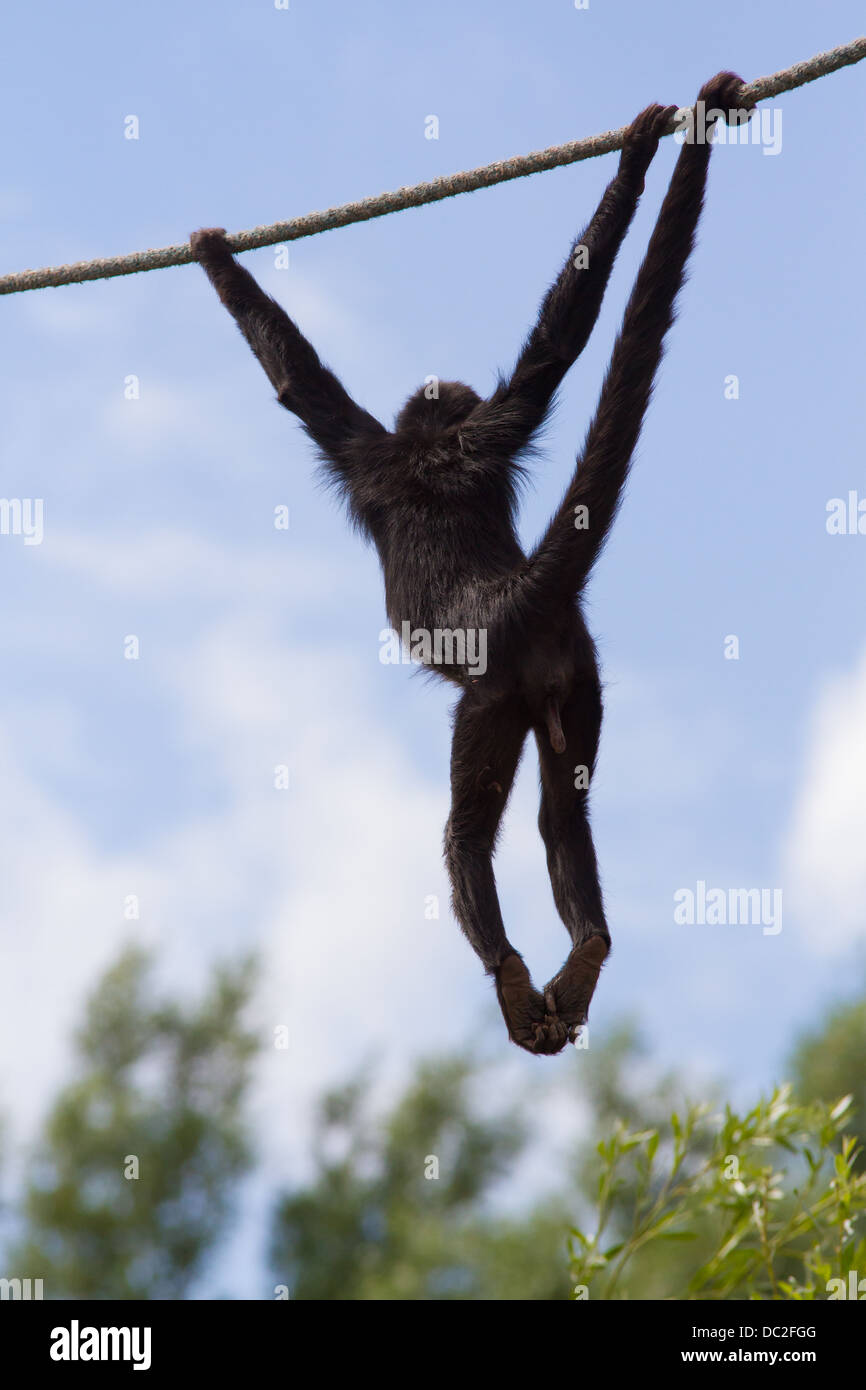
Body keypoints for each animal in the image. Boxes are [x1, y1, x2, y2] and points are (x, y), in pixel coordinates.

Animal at [189, 70, 750, 1050]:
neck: (431, 451)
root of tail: (518, 591)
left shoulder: (370, 451)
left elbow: (303, 386)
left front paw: (214, 255)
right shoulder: (481, 433)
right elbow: (553, 353)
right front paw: (639, 158)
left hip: (489, 695)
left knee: (465, 835)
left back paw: (510, 969)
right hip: (575, 674)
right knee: (564, 810)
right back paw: (586, 953)